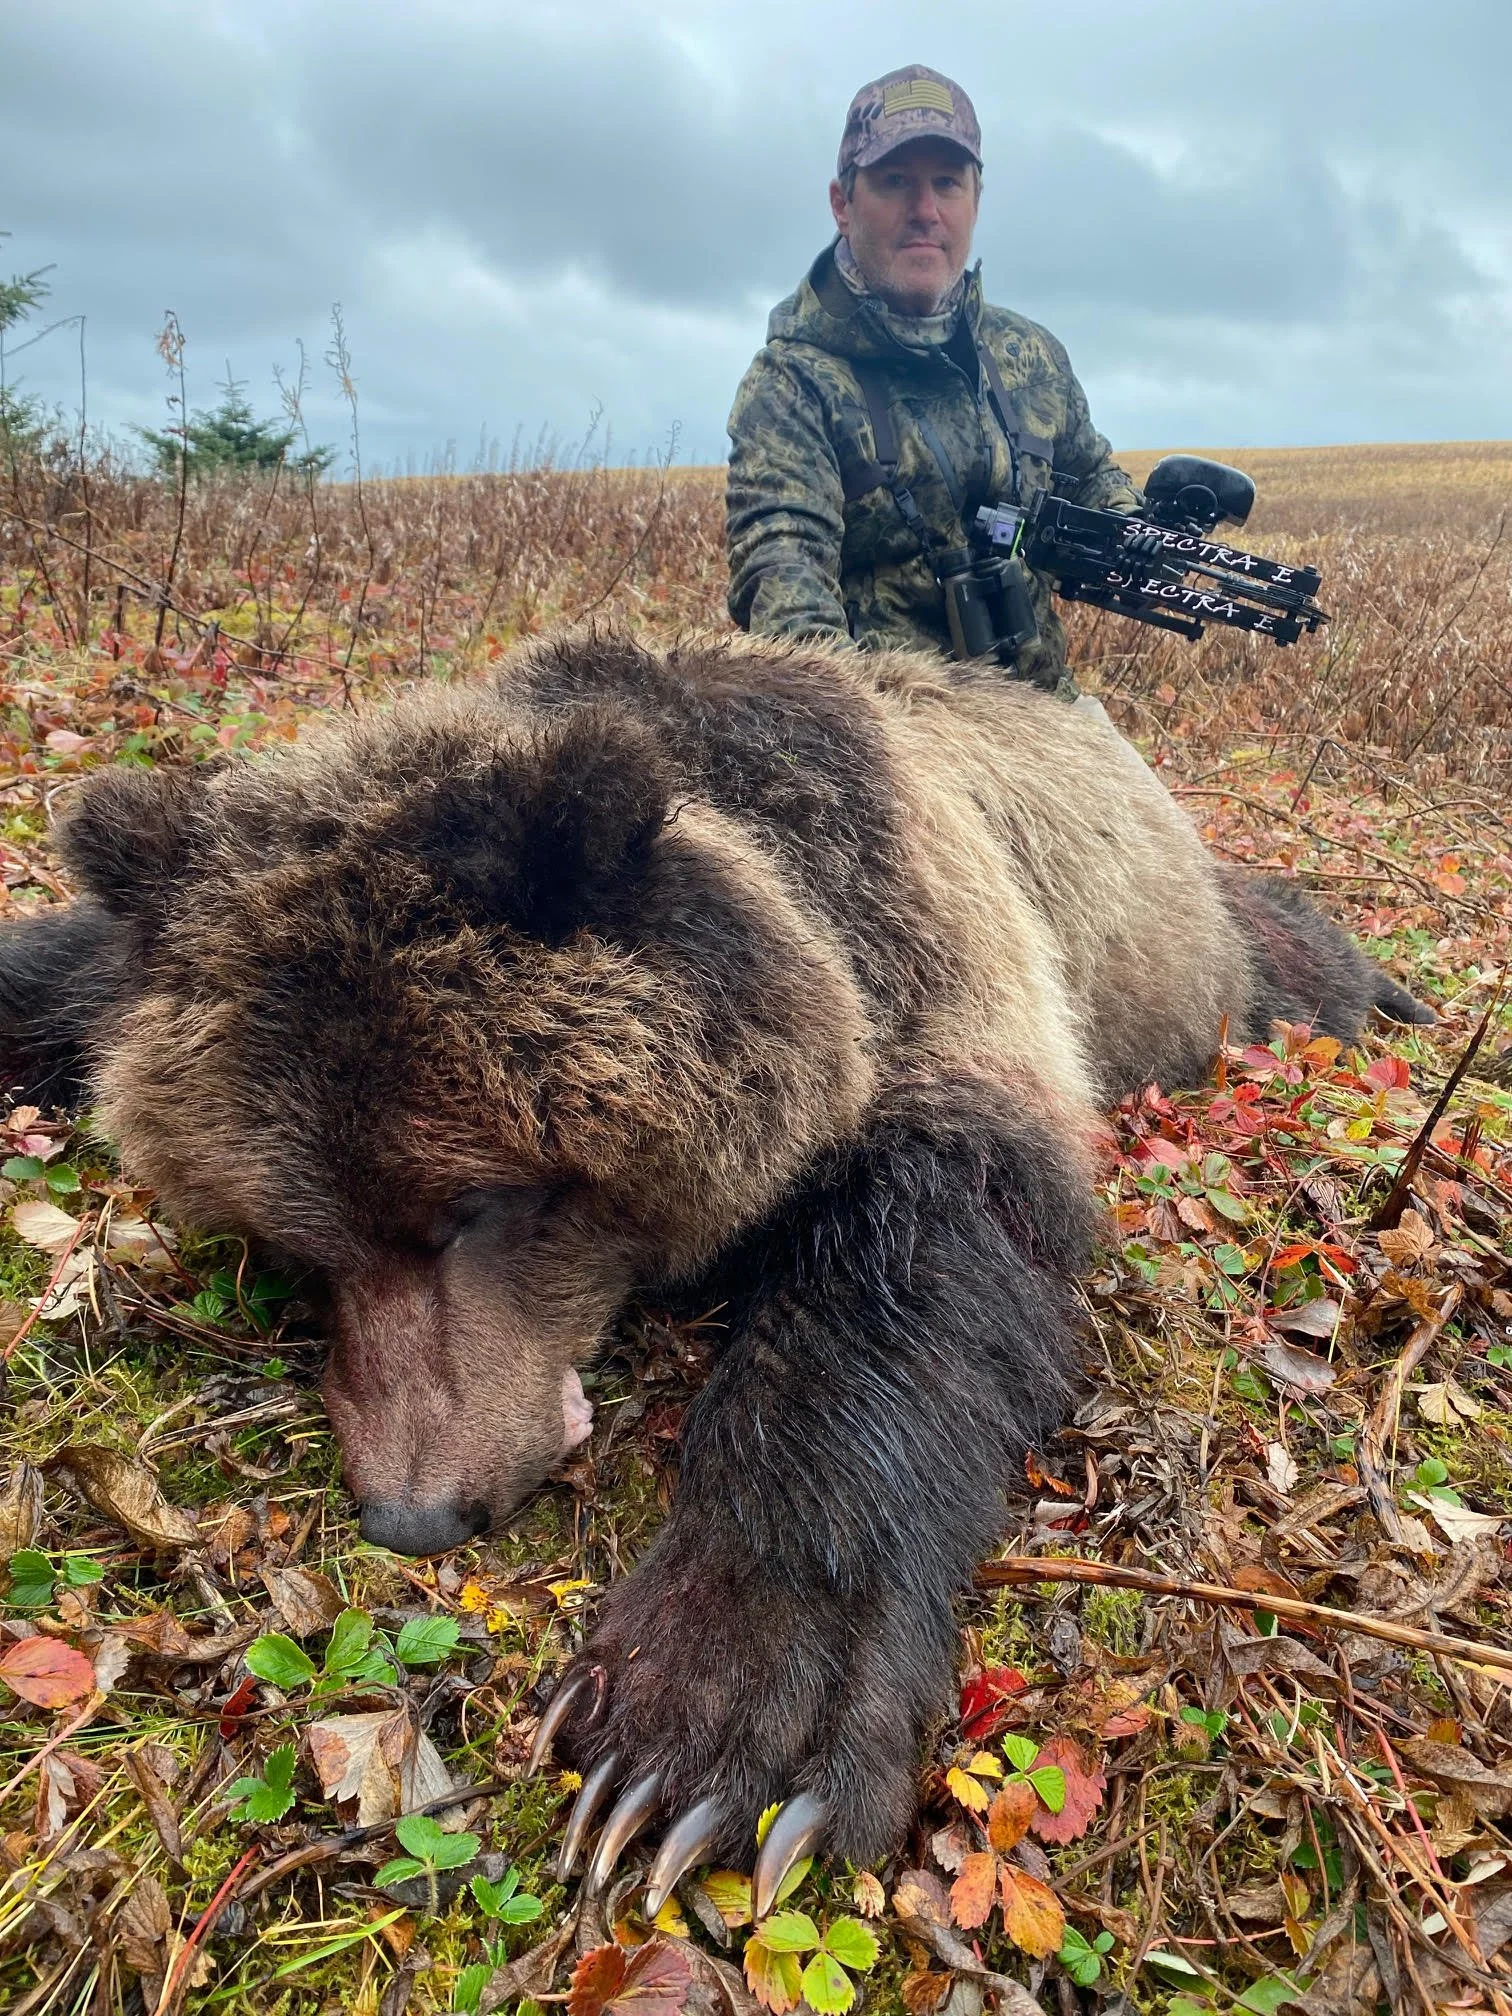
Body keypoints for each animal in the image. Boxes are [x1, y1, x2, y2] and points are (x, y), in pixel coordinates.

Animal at [0, 630, 1431, 1909]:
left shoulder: (935, 963)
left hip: (1194, 960)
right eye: (300, 1236)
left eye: (485, 1201)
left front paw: (699, 1726)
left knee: (1288, 956)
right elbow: (63, 972)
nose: (416, 1508)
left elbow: (916, 1268)